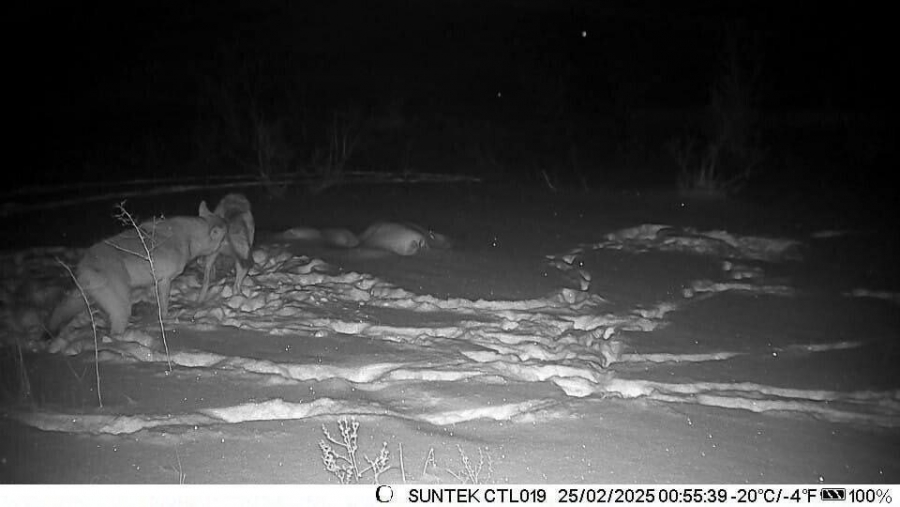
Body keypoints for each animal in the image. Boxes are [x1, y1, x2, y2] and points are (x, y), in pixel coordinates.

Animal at [47, 203, 227, 338]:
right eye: (225, 237)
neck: (188, 239)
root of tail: (85, 266)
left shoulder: (154, 284)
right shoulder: (165, 281)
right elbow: (164, 308)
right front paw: (165, 321)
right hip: (122, 307)